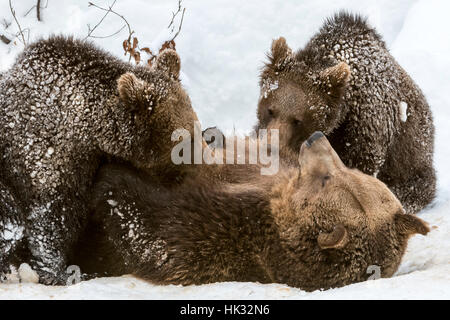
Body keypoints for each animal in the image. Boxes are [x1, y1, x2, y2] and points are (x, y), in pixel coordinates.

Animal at [71, 131, 428, 292]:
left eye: (328, 177)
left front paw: (109, 177)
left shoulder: (214, 232)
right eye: (350, 170)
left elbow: (146, 227)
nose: (315, 138)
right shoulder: (252, 171)